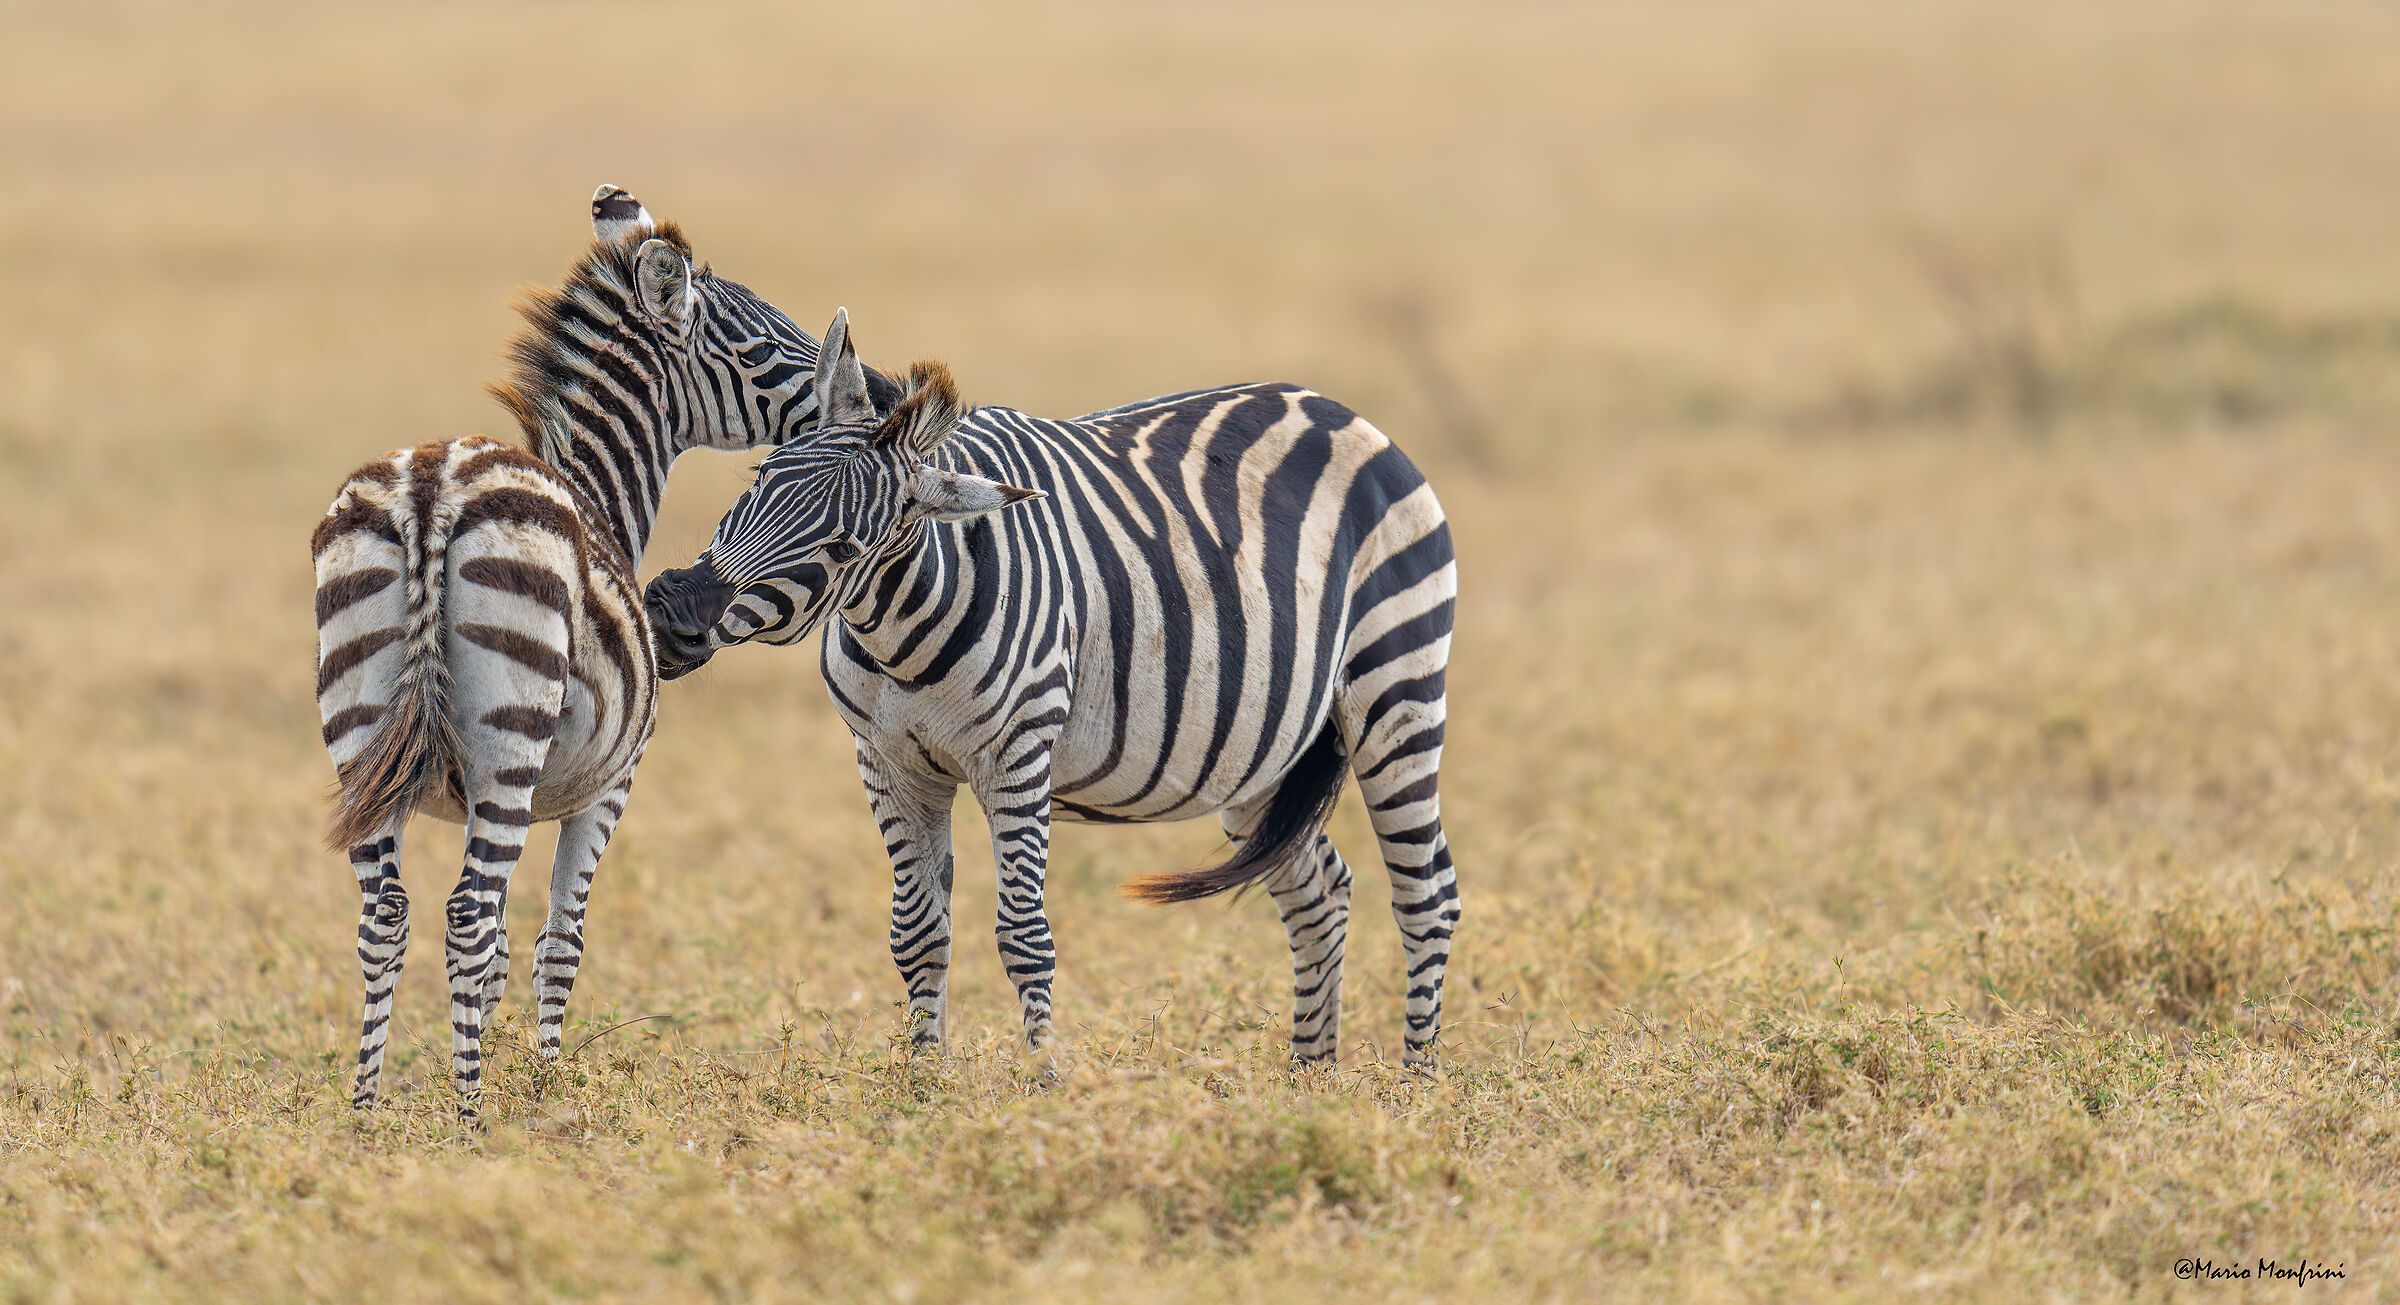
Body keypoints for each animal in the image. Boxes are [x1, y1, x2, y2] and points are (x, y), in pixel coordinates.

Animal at [312, 185, 876, 1120]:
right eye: (762, 348)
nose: (874, 396)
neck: (599, 494)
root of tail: (433, 488)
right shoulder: (610, 783)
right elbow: (557, 939)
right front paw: (542, 1087)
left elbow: (507, 951)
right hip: (510, 740)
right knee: (466, 915)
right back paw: (469, 1121)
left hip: (360, 730)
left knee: (384, 915)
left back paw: (363, 1110)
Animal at [644, 309, 1461, 1071]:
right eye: (756, 481)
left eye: (845, 546)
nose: (671, 612)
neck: (897, 634)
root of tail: (1331, 408)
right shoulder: (887, 762)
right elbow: (917, 932)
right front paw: (920, 1083)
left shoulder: (1017, 753)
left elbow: (1024, 935)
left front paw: (1043, 1082)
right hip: (1257, 748)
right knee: (1318, 894)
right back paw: (1308, 1079)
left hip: (1397, 685)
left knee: (1427, 893)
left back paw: (1413, 1084)